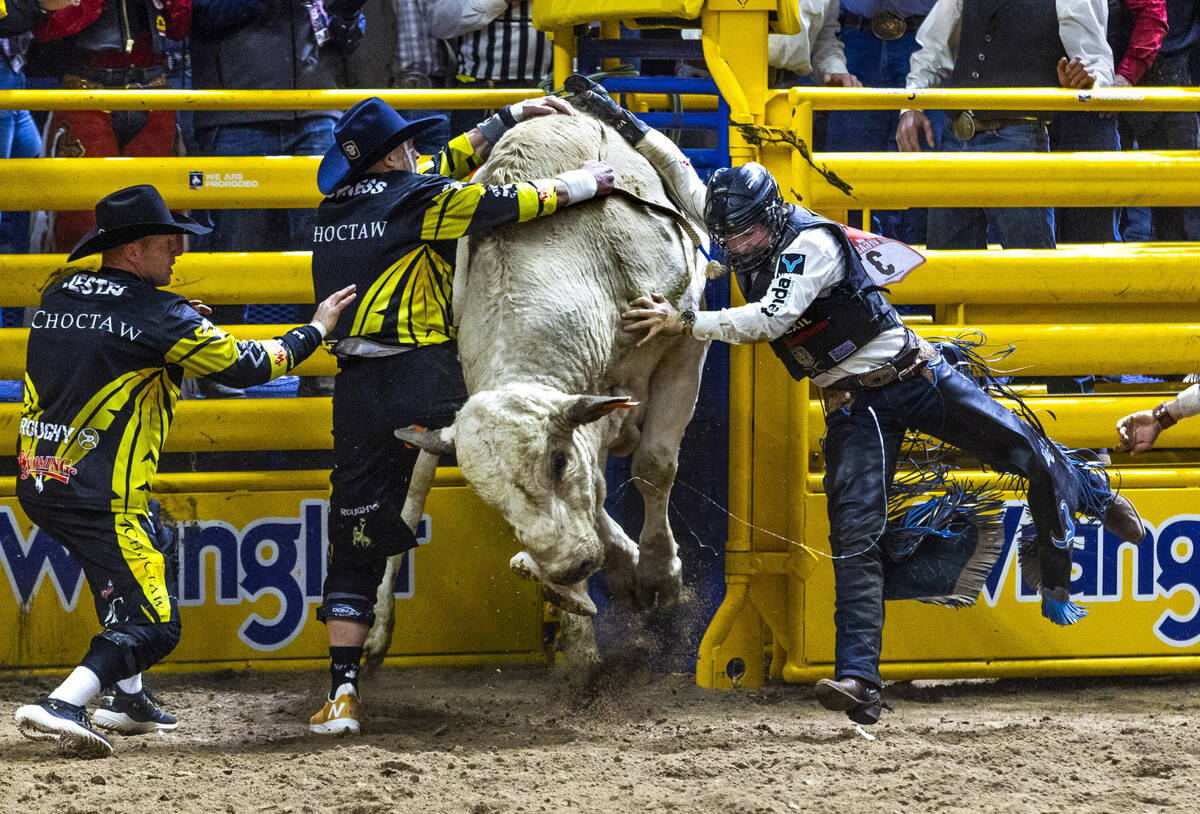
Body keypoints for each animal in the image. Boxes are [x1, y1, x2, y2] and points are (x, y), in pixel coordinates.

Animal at [362, 111, 700, 662]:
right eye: (491, 499)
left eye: (557, 461)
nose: (567, 569)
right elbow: (598, 492)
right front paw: (620, 575)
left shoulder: (683, 345)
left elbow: (653, 467)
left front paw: (658, 576)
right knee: (415, 487)